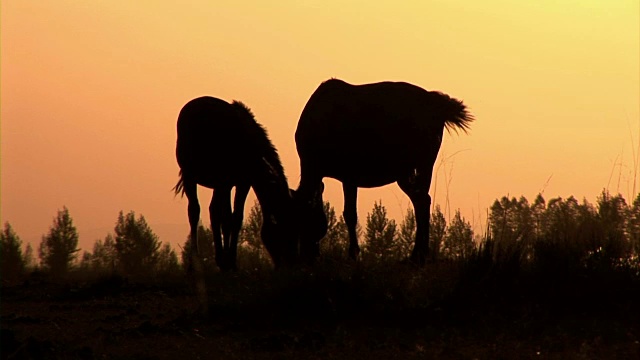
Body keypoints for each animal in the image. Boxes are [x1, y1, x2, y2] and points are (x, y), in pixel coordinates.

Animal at [174, 95, 296, 270]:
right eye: (283, 228)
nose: (290, 263)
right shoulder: (228, 182)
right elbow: (228, 218)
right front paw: (227, 261)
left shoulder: (240, 183)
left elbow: (234, 218)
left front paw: (229, 261)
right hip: (191, 175)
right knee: (194, 212)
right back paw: (194, 264)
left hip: (217, 184)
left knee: (213, 211)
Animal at [292, 79, 472, 264]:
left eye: (304, 219)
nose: (306, 255)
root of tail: (439, 105)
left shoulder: (349, 175)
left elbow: (350, 214)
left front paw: (353, 253)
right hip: (406, 172)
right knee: (422, 200)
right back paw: (418, 253)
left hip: (424, 163)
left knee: (422, 201)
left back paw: (419, 254)